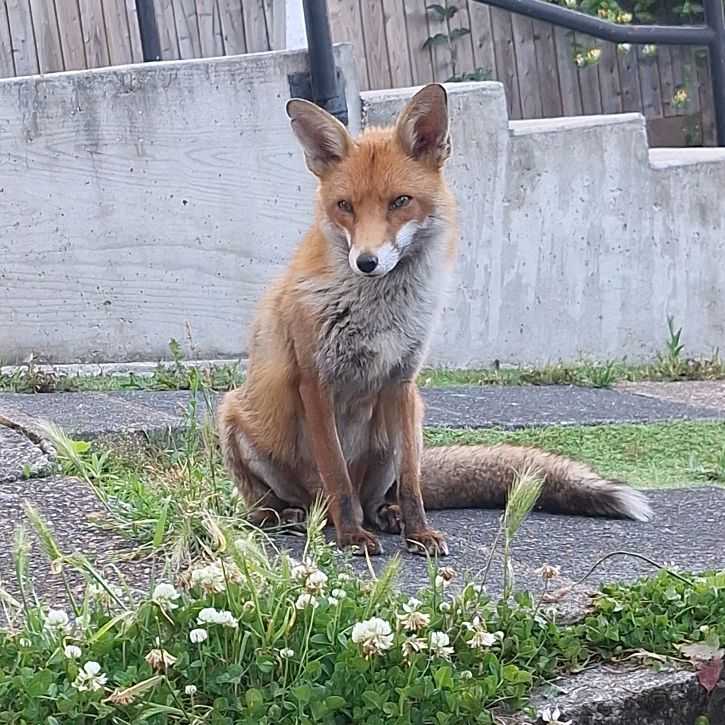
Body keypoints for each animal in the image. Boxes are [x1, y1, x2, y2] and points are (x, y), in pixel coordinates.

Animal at [218, 83, 653, 557]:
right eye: (344, 206)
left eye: (400, 201)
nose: (366, 262)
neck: (379, 311)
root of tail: (316, 509)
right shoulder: (316, 382)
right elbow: (337, 476)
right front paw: (352, 538)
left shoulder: (402, 379)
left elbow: (412, 484)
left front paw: (418, 532)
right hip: (234, 418)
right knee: (297, 500)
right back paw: (287, 516)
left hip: (408, 422)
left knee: (382, 494)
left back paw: (385, 515)